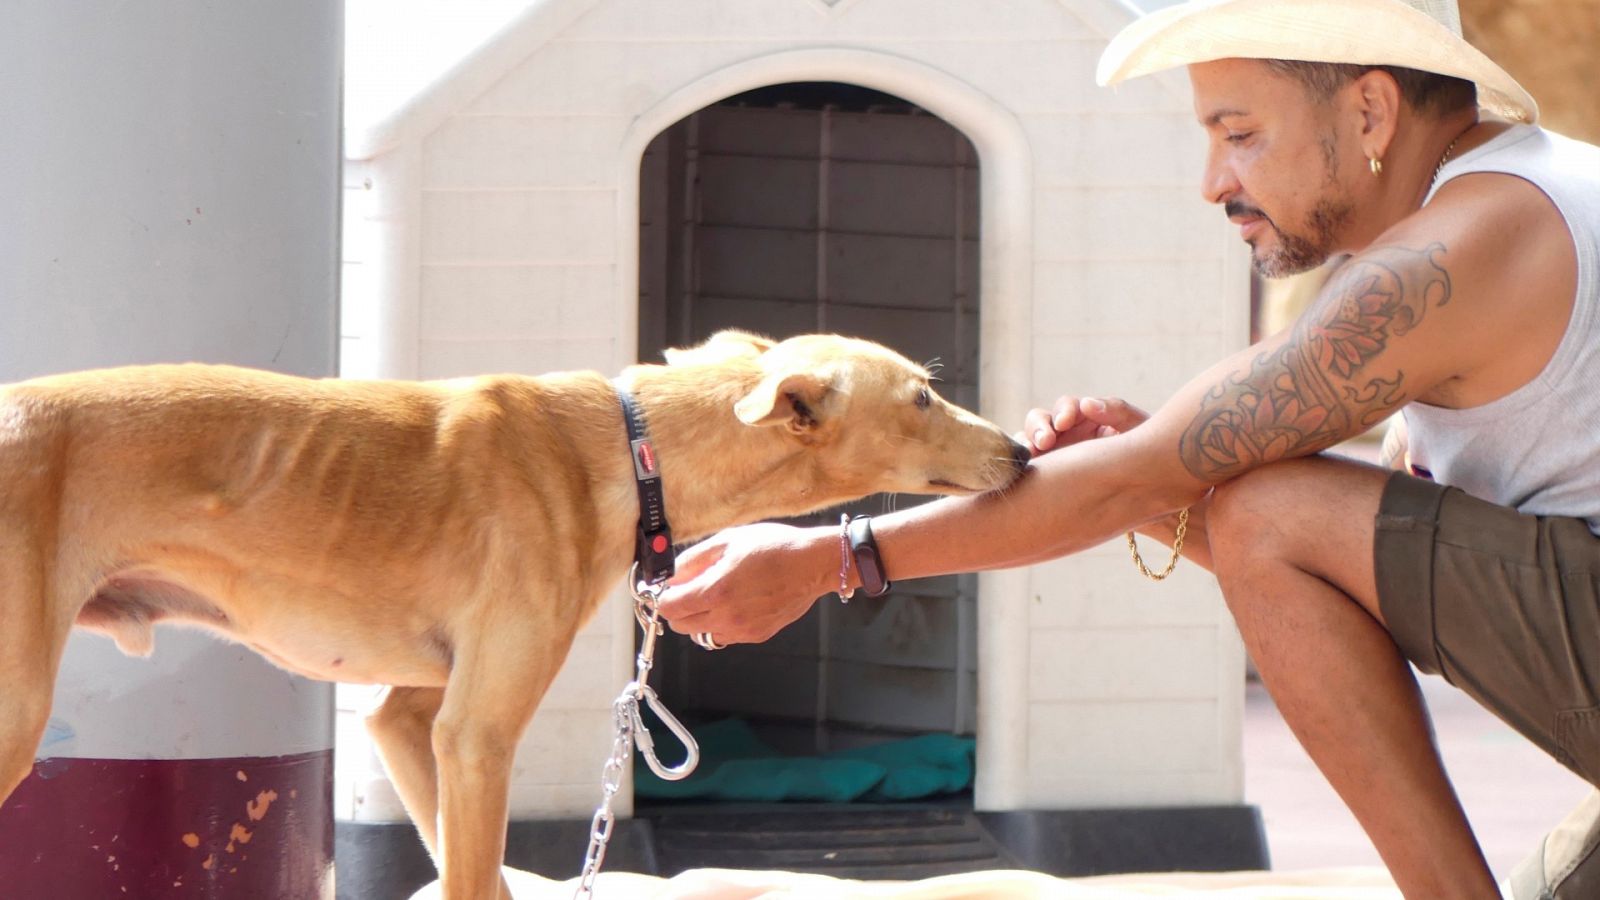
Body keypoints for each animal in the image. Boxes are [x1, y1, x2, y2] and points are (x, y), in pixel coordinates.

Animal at [0, 329, 1024, 896]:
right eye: (923, 396)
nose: (1020, 450)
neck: (627, 449)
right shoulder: (476, 737)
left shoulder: (408, 719)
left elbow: (482, 876)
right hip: (15, 717)